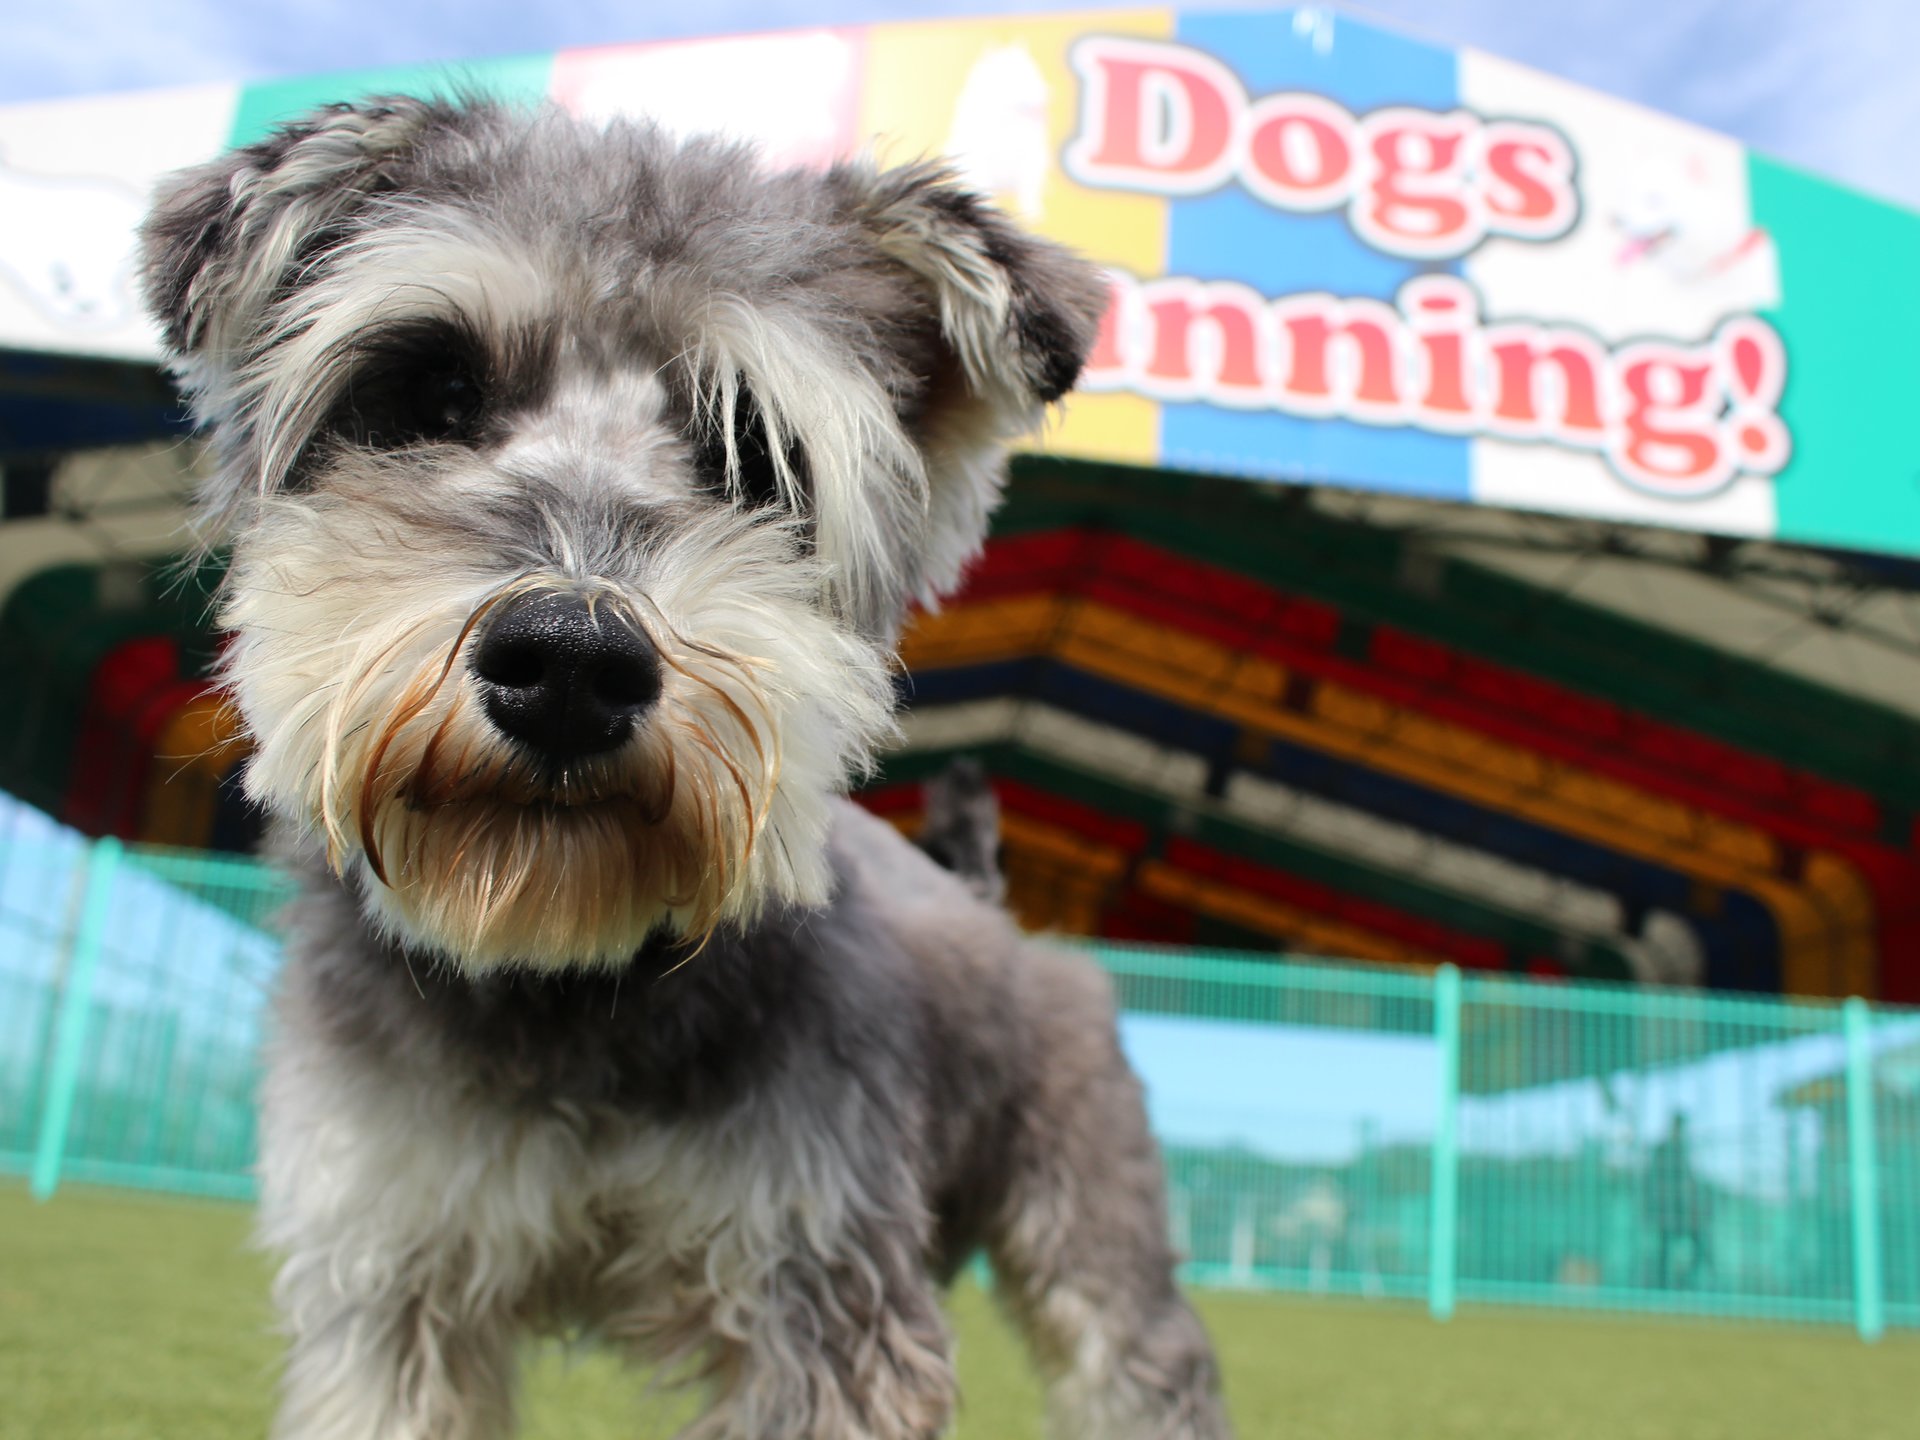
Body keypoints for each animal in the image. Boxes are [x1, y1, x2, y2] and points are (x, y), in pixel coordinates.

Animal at [139, 98, 1228, 1440]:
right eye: (431, 390)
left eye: (754, 451)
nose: (568, 663)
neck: (563, 975)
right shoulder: (386, 1289)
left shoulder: (820, 1298)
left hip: (1094, 1223)